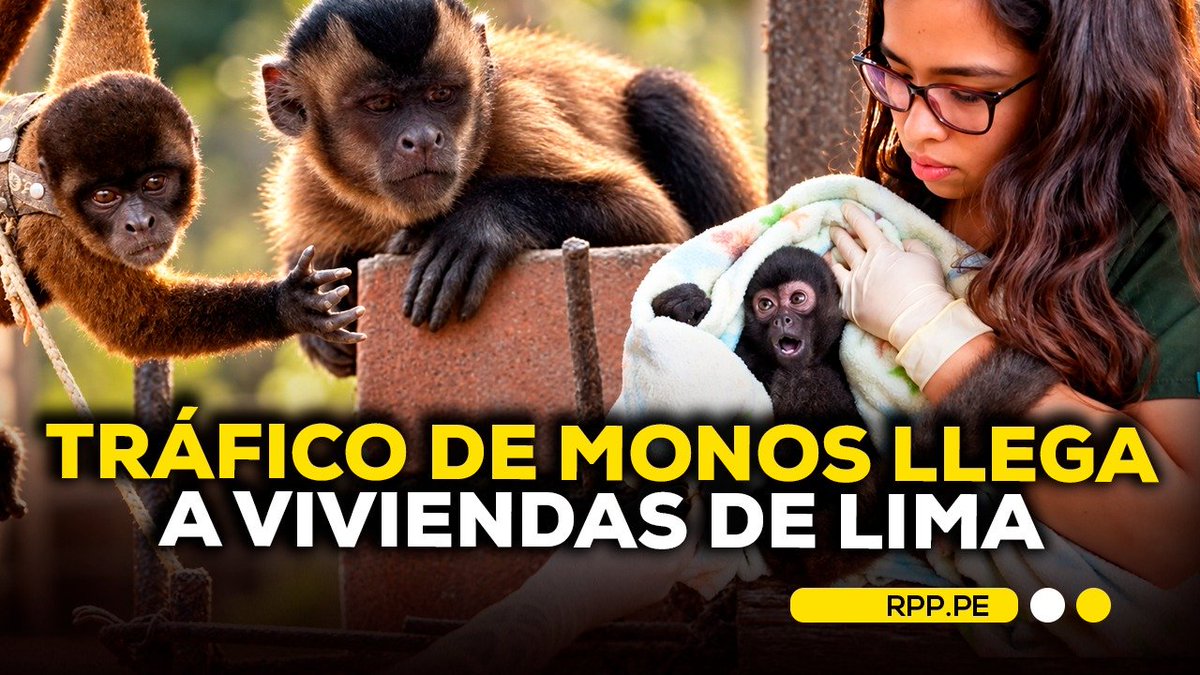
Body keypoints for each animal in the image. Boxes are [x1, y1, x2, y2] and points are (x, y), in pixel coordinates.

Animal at [259, 0, 764, 376]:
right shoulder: (305, 179)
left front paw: (481, 225)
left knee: (661, 93)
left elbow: (651, 217)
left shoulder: (510, 112)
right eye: (380, 104)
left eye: (440, 95)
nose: (422, 138)